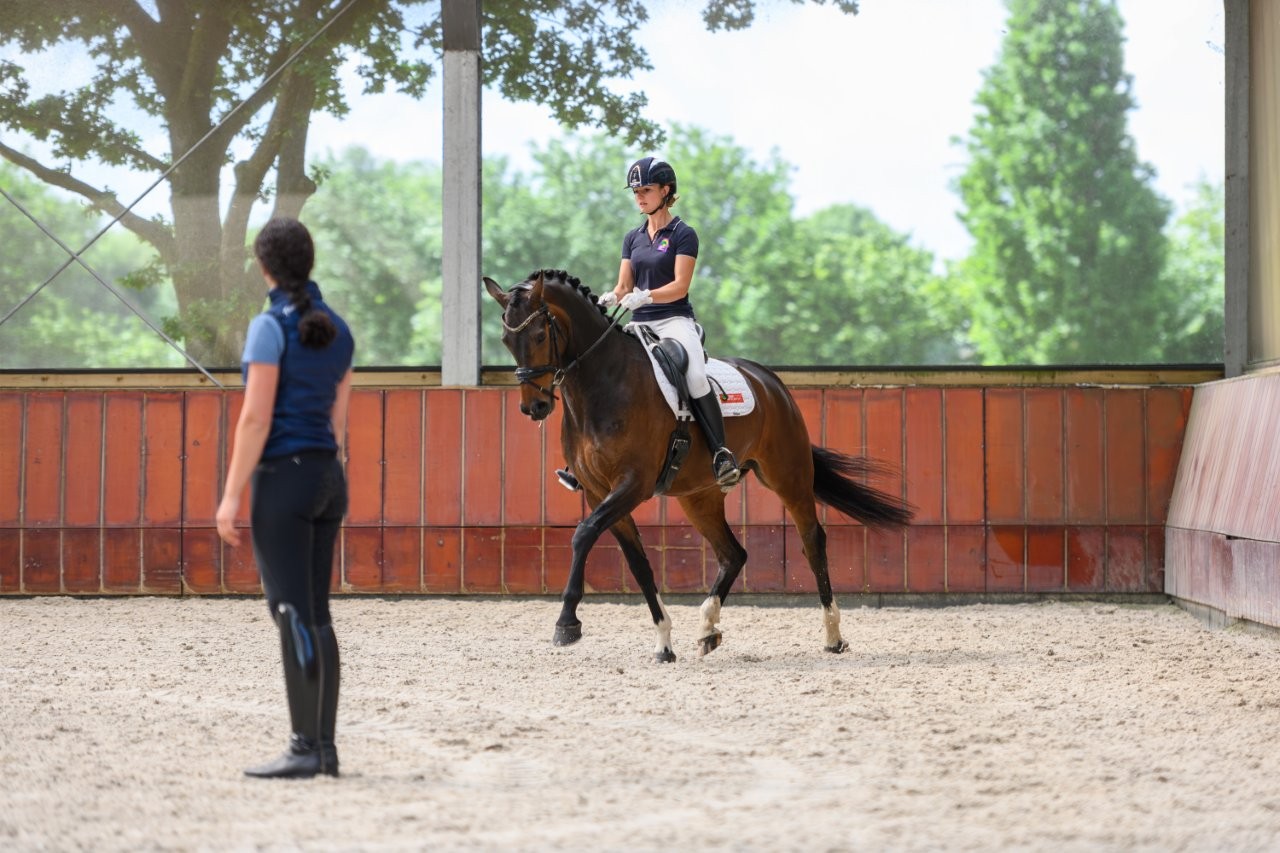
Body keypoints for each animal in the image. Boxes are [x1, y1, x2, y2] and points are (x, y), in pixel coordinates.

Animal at [483, 269, 913, 662]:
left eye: (540, 336)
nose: (535, 407)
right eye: (506, 340)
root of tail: (770, 381)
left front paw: (567, 624)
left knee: (812, 541)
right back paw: (708, 629)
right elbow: (638, 563)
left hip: (788, 477)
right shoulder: (598, 491)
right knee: (733, 554)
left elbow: (583, 534)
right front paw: (663, 643)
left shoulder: (632, 484)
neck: (602, 384)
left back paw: (833, 635)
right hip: (699, 496)